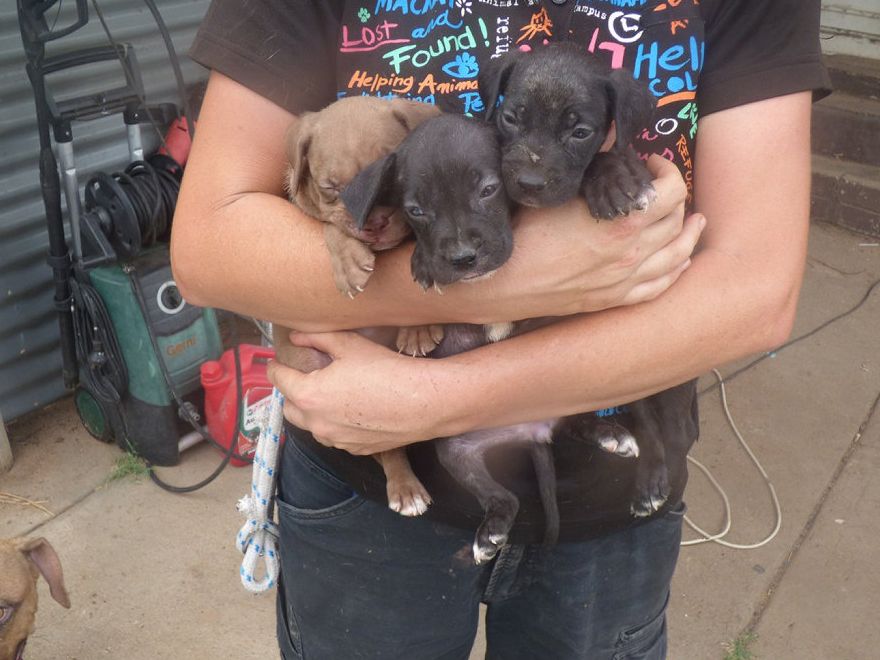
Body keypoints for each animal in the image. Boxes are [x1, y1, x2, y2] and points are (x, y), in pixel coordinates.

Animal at [274, 96, 440, 516]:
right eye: (332, 189)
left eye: (393, 179)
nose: (374, 223)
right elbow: (330, 226)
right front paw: (349, 259)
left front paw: (417, 327)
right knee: (385, 448)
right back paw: (405, 488)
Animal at [340, 113, 560, 564]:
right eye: (416, 210)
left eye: (489, 190)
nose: (463, 258)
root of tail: (530, 432)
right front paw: (423, 263)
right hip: (457, 452)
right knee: (506, 499)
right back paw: (490, 534)